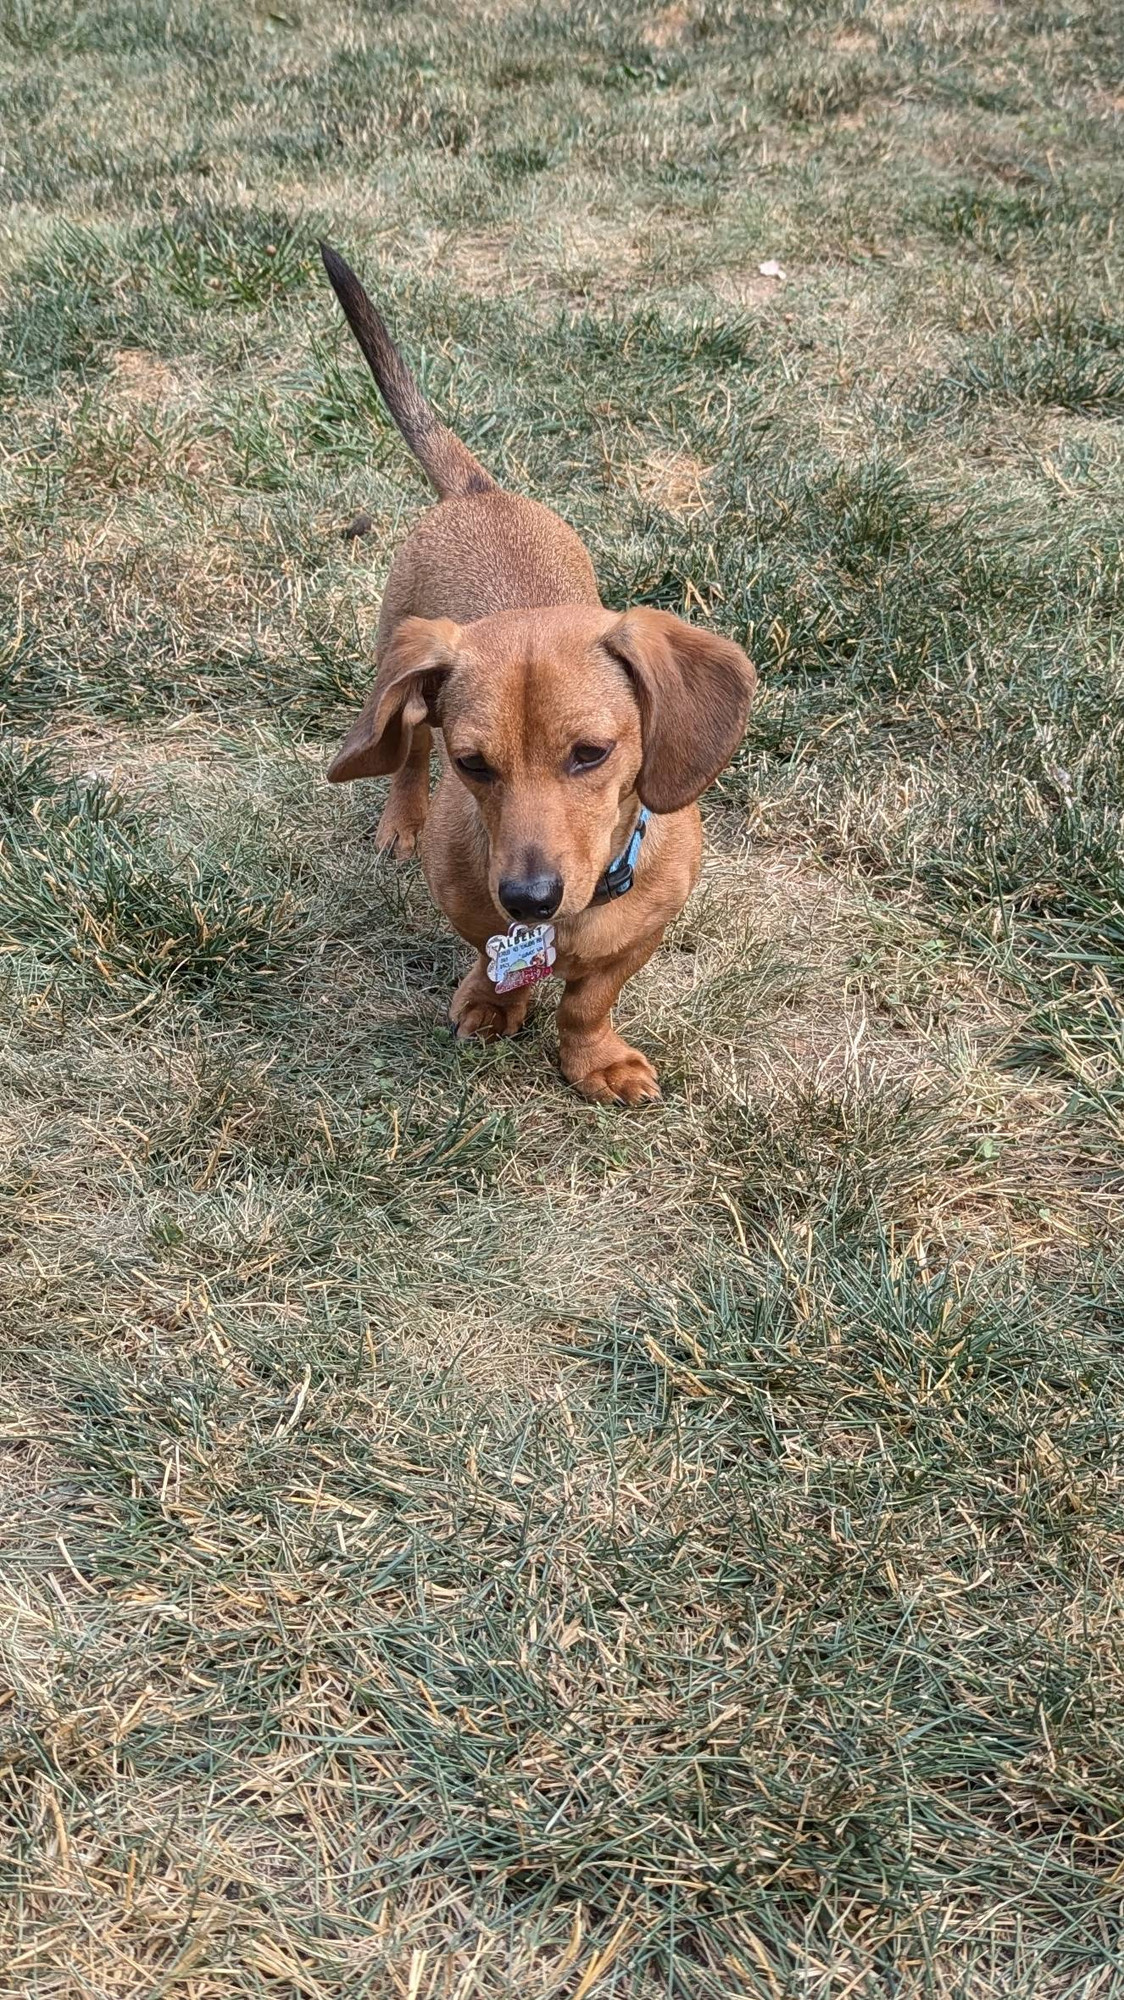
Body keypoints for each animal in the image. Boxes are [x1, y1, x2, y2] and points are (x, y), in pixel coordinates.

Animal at [320, 244, 752, 1112]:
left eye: (592, 754)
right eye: (473, 764)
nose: (529, 900)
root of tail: (478, 491)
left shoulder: (643, 932)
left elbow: (589, 999)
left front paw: (593, 1060)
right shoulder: (471, 902)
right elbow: (491, 959)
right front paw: (493, 1004)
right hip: (400, 655)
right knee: (405, 745)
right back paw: (401, 819)